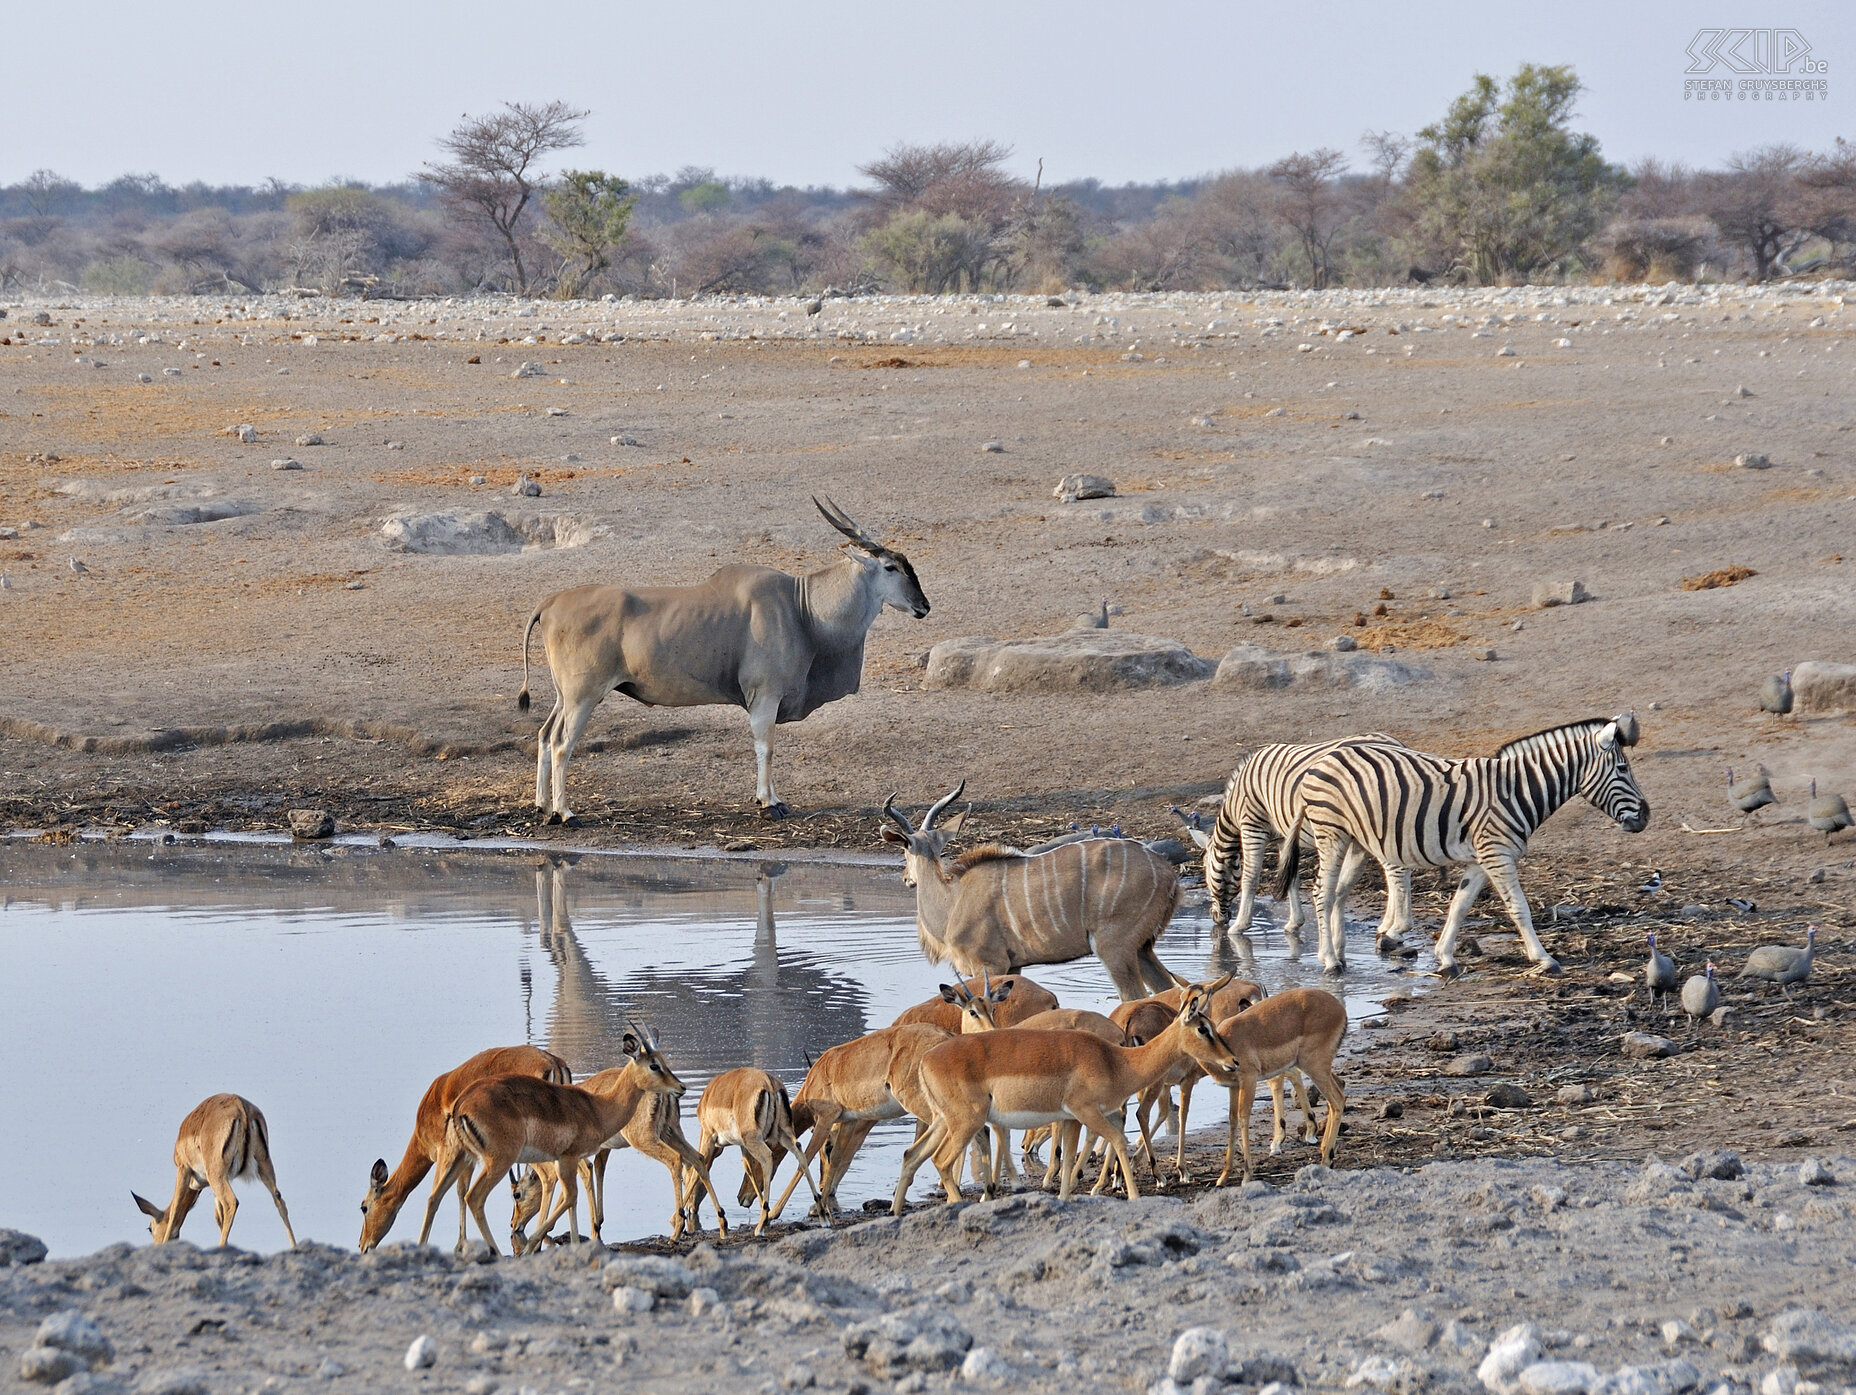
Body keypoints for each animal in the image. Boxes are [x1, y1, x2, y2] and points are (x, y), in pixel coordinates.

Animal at [1187, 734, 1403, 942]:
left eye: (1206, 873)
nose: (1216, 919)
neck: (1236, 802)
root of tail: (1395, 743)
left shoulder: (1253, 825)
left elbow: (1250, 877)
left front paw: (1240, 926)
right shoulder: (1286, 836)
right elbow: (1291, 876)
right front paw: (1295, 923)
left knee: (1394, 870)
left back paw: (1393, 928)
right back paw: (1387, 926)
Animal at [1276, 712, 1655, 972]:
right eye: (1622, 769)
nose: (1647, 816)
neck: (1517, 790)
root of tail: (1320, 761)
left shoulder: (1481, 859)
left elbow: (1459, 905)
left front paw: (1444, 956)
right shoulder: (1497, 854)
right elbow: (1519, 908)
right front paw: (1544, 958)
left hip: (1357, 841)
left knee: (1339, 893)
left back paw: (1340, 953)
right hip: (1331, 833)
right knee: (1322, 892)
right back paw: (1329, 960)